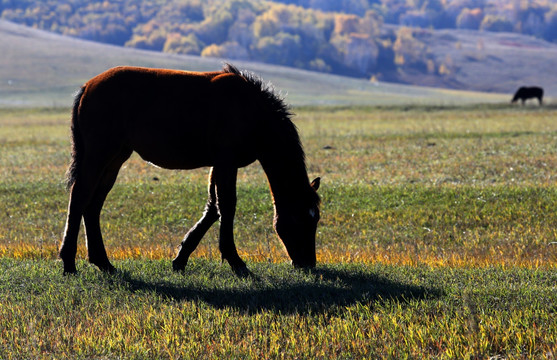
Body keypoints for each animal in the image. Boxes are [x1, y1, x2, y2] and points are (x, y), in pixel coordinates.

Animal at [58, 64, 320, 276]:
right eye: (301, 219)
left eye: (315, 218)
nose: (308, 264)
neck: (251, 111)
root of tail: (87, 87)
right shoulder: (226, 162)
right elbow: (227, 206)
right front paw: (236, 262)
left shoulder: (219, 164)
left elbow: (213, 208)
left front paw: (181, 259)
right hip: (99, 155)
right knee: (80, 197)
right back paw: (69, 262)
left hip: (114, 159)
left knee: (93, 205)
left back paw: (103, 262)